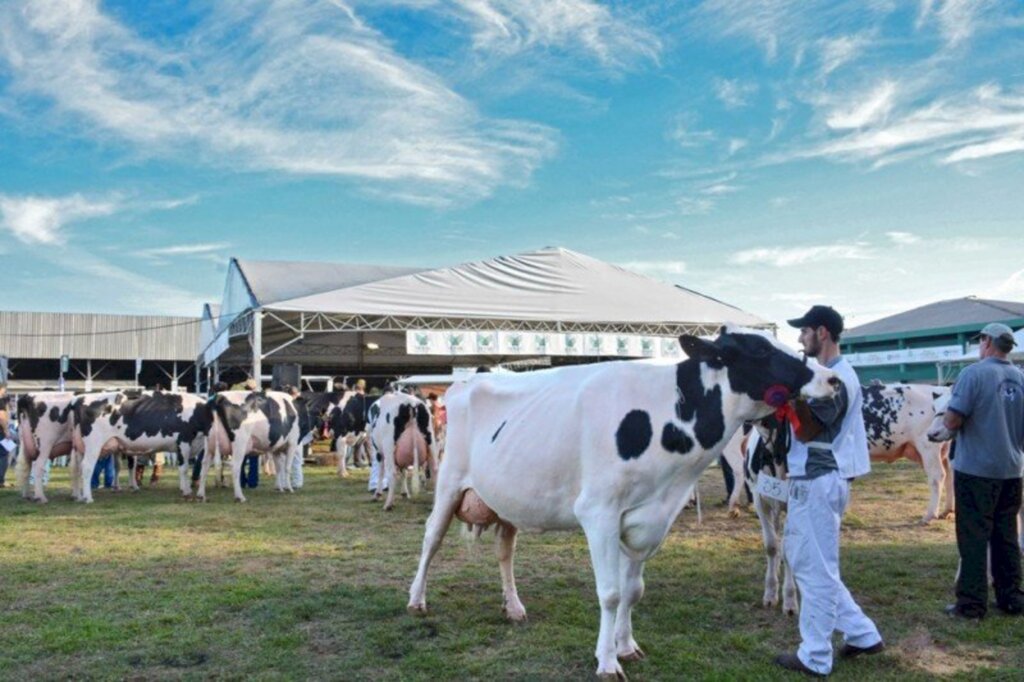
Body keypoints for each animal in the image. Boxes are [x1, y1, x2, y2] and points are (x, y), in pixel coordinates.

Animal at [71, 387, 211, 503]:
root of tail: (80, 398)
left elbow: (182, 467)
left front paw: (184, 488)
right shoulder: (184, 441)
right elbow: (184, 468)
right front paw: (187, 492)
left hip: (79, 447)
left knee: (77, 468)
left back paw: (79, 497)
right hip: (93, 445)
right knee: (87, 467)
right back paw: (88, 498)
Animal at [403, 323, 835, 675]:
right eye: (759, 350)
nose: (831, 379)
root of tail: (465, 381)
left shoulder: (648, 519)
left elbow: (633, 590)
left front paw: (626, 647)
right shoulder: (599, 513)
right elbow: (610, 593)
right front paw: (607, 662)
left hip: (506, 497)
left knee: (504, 551)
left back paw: (513, 607)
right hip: (448, 482)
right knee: (430, 538)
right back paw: (416, 600)